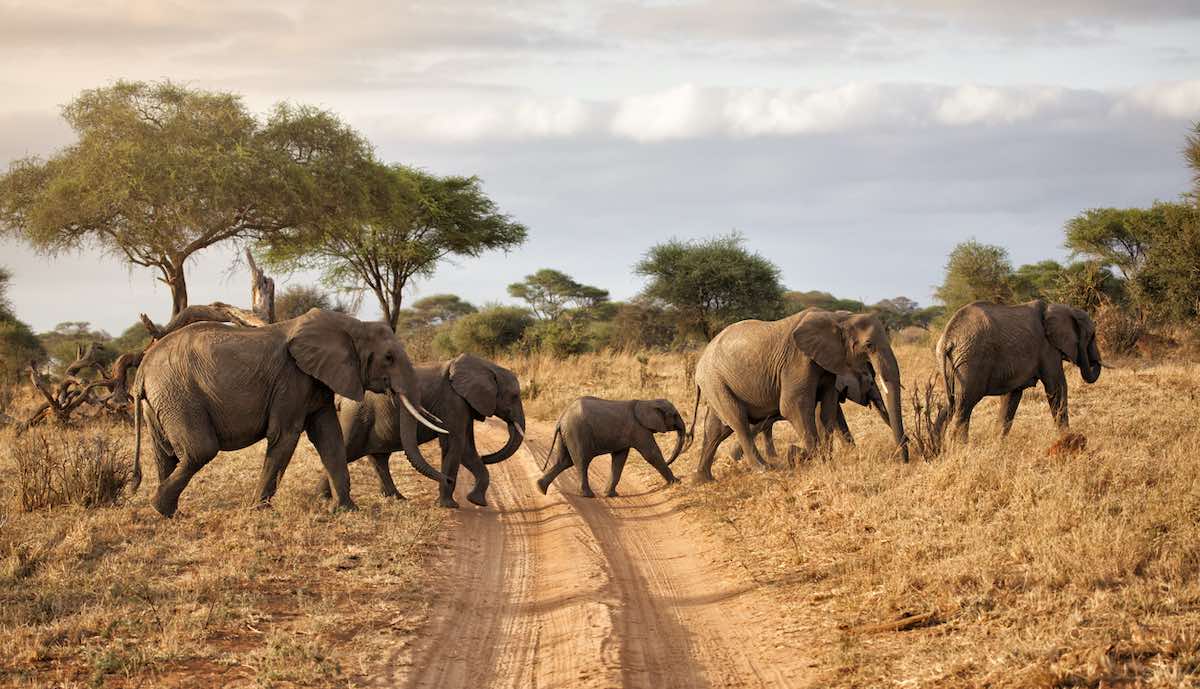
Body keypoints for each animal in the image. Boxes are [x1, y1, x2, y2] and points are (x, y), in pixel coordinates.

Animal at [130, 309, 451, 518]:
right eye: (388, 358)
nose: (448, 482)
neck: (350, 325)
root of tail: (142, 369)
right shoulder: (291, 378)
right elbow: (285, 435)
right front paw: (258, 510)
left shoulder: (318, 381)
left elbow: (330, 439)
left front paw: (346, 510)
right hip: (180, 395)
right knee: (199, 450)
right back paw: (160, 507)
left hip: (161, 401)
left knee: (166, 454)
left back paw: (169, 513)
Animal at [324, 352, 525, 511]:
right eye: (515, 396)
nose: (486, 456)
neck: (487, 366)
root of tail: (340, 398)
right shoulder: (453, 402)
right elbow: (456, 446)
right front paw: (449, 506)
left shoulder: (464, 405)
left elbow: (467, 449)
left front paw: (476, 501)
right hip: (357, 416)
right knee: (348, 450)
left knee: (378, 458)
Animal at [535, 396, 686, 499]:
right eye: (675, 415)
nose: (669, 461)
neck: (647, 401)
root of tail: (561, 418)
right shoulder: (639, 429)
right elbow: (652, 454)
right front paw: (677, 482)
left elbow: (619, 459)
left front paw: (610, 494)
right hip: (577, 432)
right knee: (581, 461)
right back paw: (588, 495)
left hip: (566, 434)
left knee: (565, 461)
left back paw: (540, 488)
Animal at [686, 309, 907, 482]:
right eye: (869, 345)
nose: (904, 460)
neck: (838, 317)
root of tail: (700, 364)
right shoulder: (797, 360)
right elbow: (794, 406)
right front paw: (799, 455)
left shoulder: (828, 365)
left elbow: (827, 410)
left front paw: (825, 459)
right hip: (715, 381)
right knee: (738, 420)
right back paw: (764, 469)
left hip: (717, 384)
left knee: (716, 428)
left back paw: (703, 479)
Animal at [936, 298, 1104, 441]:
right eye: (1092, 336)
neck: (1062, 308)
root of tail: (947, 339)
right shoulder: (1047, 348)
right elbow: (1057, 387)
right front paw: (1068, 438)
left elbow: (1011, 396)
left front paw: (998, 443)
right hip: (971, 362)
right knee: (964, 405)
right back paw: (959, 448)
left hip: (954, 366)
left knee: (949, 405)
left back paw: (936, 451)